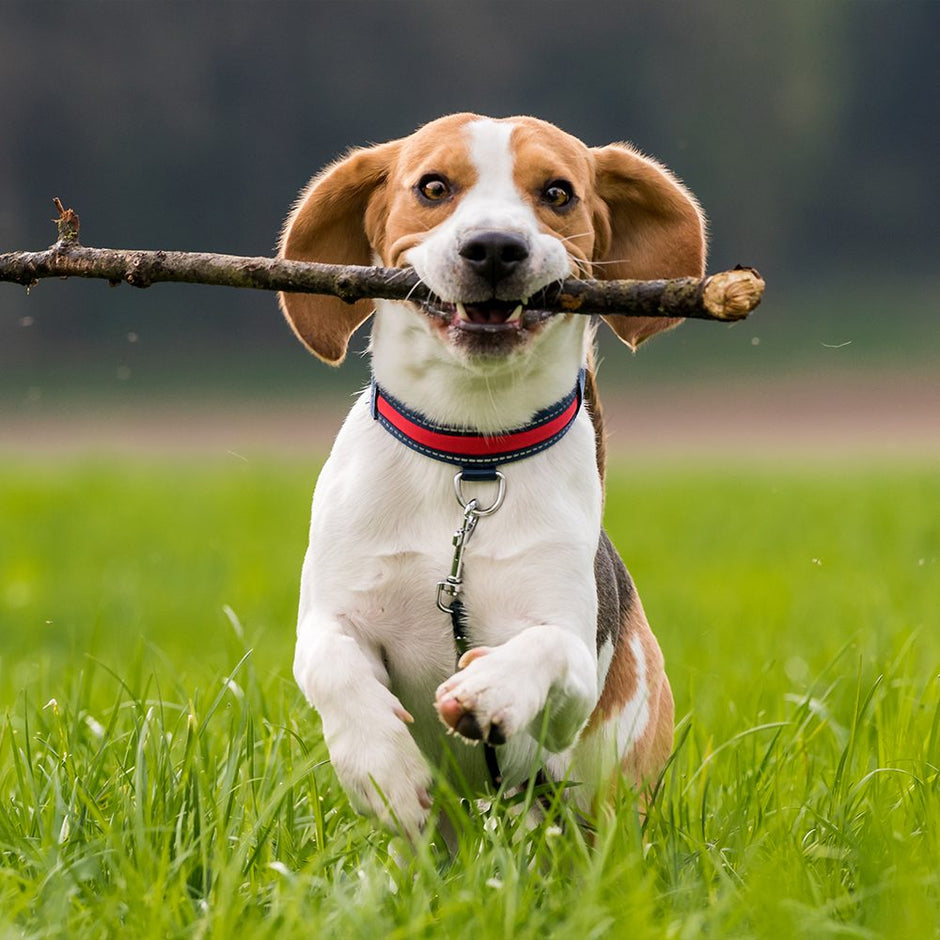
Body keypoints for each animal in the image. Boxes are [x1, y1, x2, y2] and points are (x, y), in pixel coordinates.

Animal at [280, 112, 704, 836]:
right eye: (433, 186)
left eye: (558, 193)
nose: (495, 247)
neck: (471, 461)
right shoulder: (331, 615)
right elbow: (332, 663)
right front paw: (383, 770)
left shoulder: (570, 670)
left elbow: (547, 650)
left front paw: (490, 688)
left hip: (606, 796)